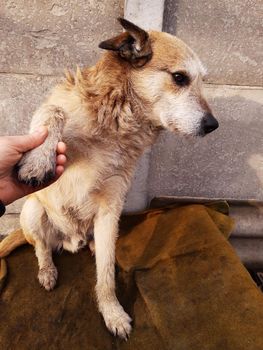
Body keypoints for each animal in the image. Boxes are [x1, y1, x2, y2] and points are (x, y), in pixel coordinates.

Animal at [0, 17, 219, 338]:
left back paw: (88, 248)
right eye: (180, 78)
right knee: (41, 248)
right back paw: (47, 271)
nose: (213, 125)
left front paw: (112, 312)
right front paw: (39, 159)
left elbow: (105, 274)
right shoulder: (53, 116)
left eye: (202, 80)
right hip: (32, 209)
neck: (118, 122)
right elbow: (53, 112)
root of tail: (70, 240)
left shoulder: (111, 207)